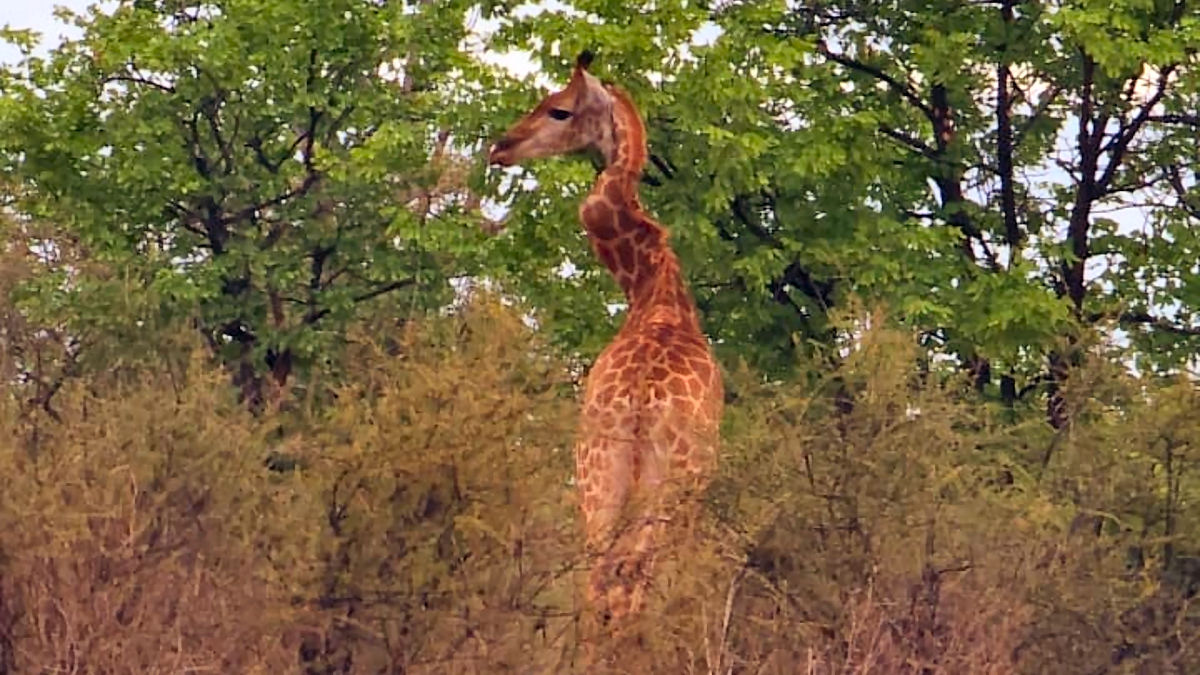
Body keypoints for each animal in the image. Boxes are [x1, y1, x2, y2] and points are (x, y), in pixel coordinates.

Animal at [487, 52, 720, 648]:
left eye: (558, 109)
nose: (500, 146)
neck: (651, 289)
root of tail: (639, 404)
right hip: (666, 487)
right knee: (630, 585)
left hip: (595, 478)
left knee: (598, 585)